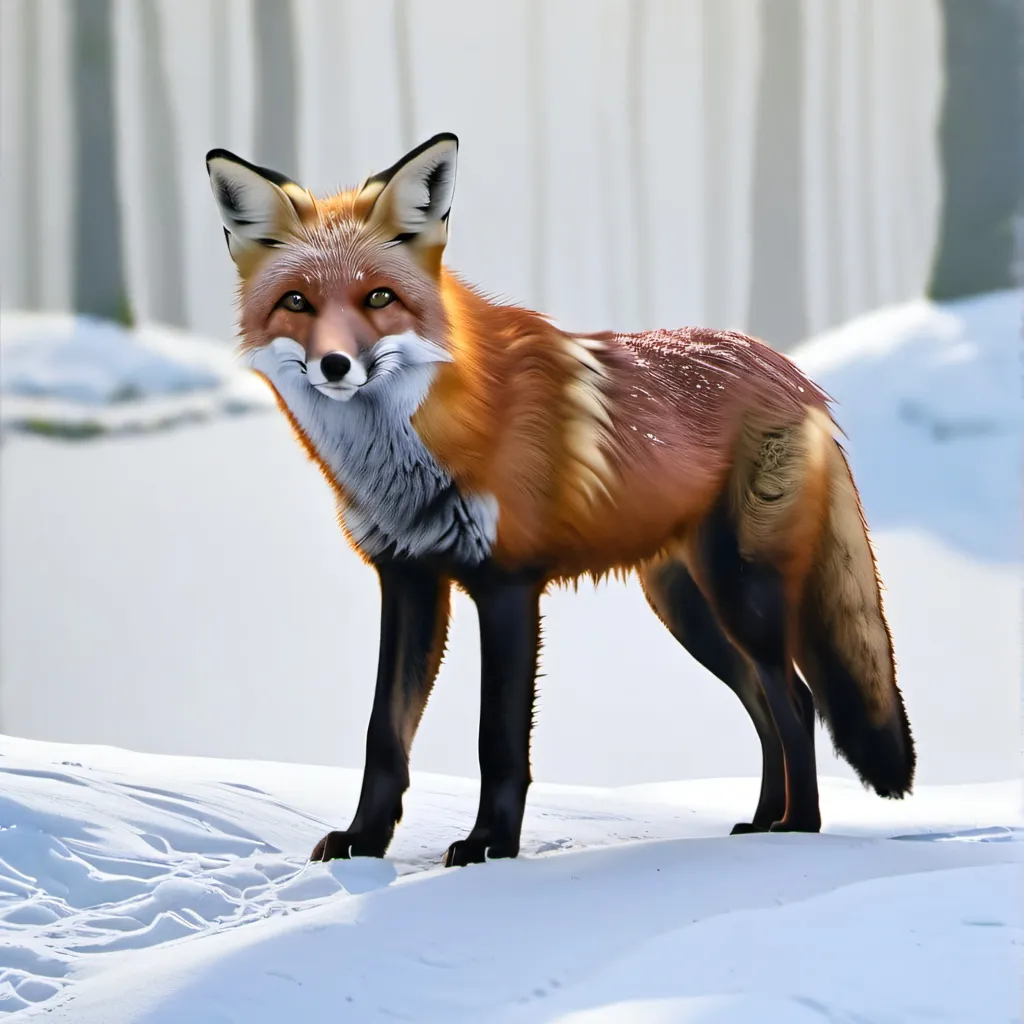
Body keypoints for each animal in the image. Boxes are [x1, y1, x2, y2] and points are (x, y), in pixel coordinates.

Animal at [205, 132, 915, 868]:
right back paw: (762, 819)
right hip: (690, 609)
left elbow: (497, 739)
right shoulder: (407, 577)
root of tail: (794, 372)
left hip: (741, 592)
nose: (336, 366)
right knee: (767, 709)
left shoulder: (508, 584)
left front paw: (490, 844)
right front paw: (365, 841)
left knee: (797, 702)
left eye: (378, 298)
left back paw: (798, 828)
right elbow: (384, 733)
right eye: (296, 303)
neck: (417, 453)